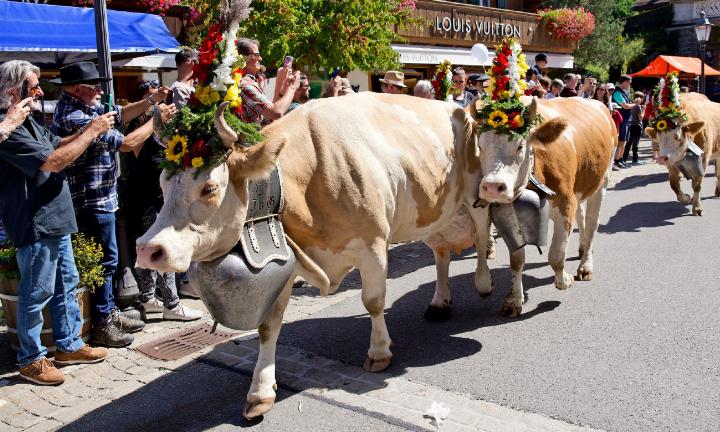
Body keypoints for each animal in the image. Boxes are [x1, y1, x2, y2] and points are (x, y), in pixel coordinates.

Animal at [135, 93, 494, 419]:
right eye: (162, 183)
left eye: (209, 188)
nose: (147, 249)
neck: (306, 182)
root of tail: (457, 106)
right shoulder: (286, 260)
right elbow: (268, 326)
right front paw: (260, 392)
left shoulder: (374, 245)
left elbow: (373, 302)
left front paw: (379, 352)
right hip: (435, 211)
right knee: (441, 254)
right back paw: (440, 302)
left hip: (477, 196)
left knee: (480, 237)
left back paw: (485, 283)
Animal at [469, 97, 616, 317]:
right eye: (480, 146)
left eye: (520, 146)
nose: (493, 187)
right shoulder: (507, 216)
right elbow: (517, 260)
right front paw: (514, 300)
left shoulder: (566, 204)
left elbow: (556, 255)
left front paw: (564, 280)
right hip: (581, 187)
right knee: (582, 217)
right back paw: (582, 248)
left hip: (602, 181)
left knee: (592, 223)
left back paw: (586, 266)